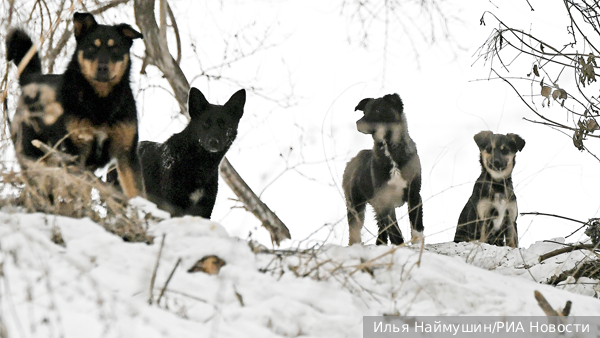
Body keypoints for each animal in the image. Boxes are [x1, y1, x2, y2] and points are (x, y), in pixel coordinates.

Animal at [6, 12, 144, 198]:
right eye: (92, 47)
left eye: (115, 48)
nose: (102, 68)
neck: (101, 101)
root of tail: (31, 81)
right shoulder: (75, 154)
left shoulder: (126, 154)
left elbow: (137, 193)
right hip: (36, 158)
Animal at [344, 93, 424, 246]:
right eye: (365, 111)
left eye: (377, 110)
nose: (358, 123)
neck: (389, 148)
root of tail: (351, 161)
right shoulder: (386, 200)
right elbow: (394, 230)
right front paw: (399, 246)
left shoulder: (414, 194)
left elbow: (416, 224)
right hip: (355, 205)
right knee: (354, 230)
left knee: (381, 226)